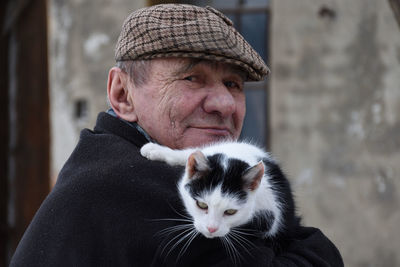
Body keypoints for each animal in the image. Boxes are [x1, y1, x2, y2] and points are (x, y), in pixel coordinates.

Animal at [141, 141, 300, 262]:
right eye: (202, 205)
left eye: (230, 212)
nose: (211, 229)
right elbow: (189, 153)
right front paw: (157, 150)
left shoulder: (273, 208)